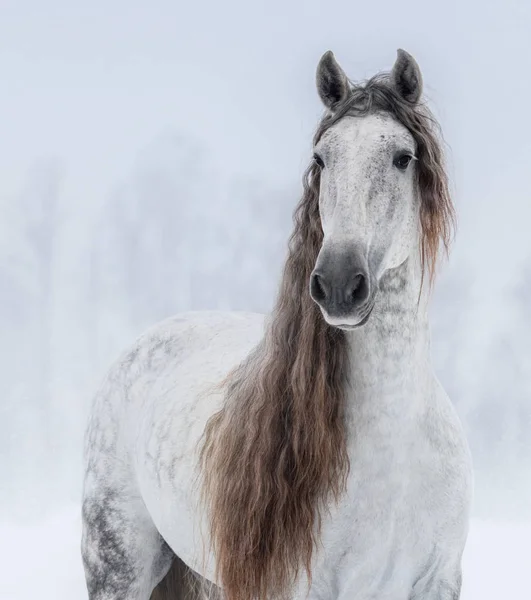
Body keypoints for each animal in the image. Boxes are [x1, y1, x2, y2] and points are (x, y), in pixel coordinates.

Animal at [81, 49, 472, 596]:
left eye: (402, 157)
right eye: (321, 158)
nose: (337, 283)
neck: (395, 446)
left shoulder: (438, 581)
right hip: (118, 566)